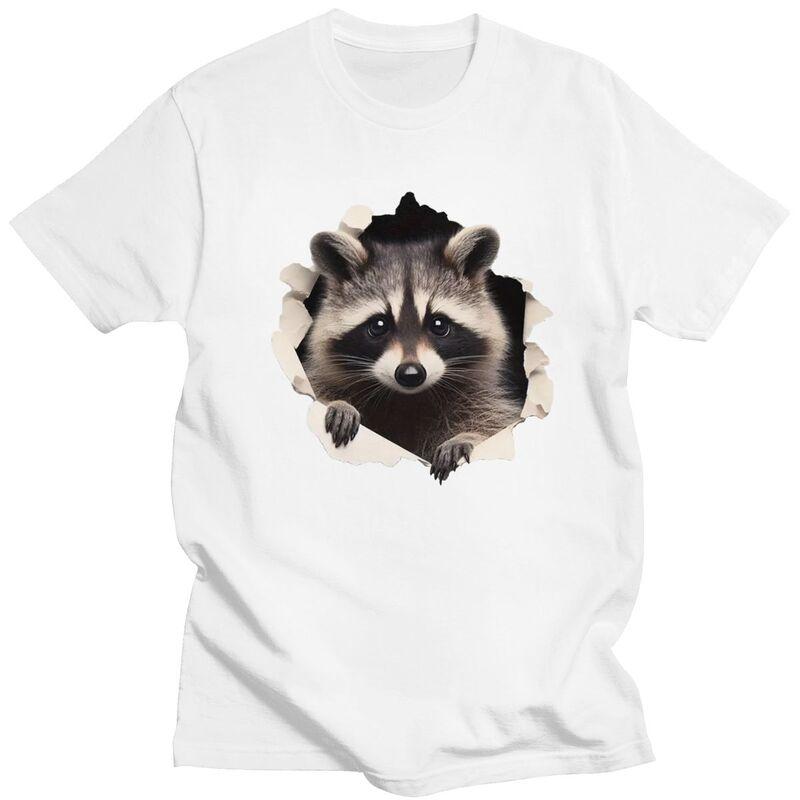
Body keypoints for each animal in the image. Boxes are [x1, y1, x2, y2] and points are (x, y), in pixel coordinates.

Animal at [299, 193, 527, 482]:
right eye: (378, 325)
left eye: (439, 324)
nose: (410, 374)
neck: (407, 400)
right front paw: (341, 404)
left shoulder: (479, 400)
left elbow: (493, 426)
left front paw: (466, 438)